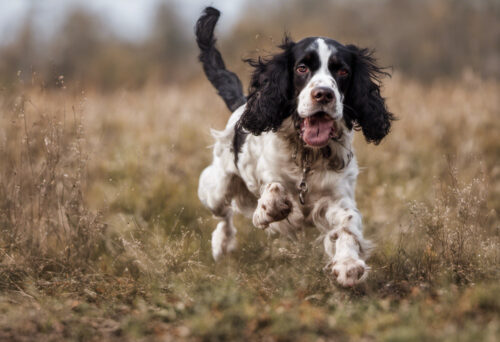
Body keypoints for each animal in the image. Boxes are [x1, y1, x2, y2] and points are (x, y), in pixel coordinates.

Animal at [195, 7, 394, 286]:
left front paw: (348, 265)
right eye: (302, 68)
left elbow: (348, 223)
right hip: (217, 187)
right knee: (223, 212)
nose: (323, 94)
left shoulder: (337, 197)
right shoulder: (271, 176)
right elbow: (274, 190)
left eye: (342, 71)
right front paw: (267, 211)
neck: (307, 156)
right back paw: (221, 244)